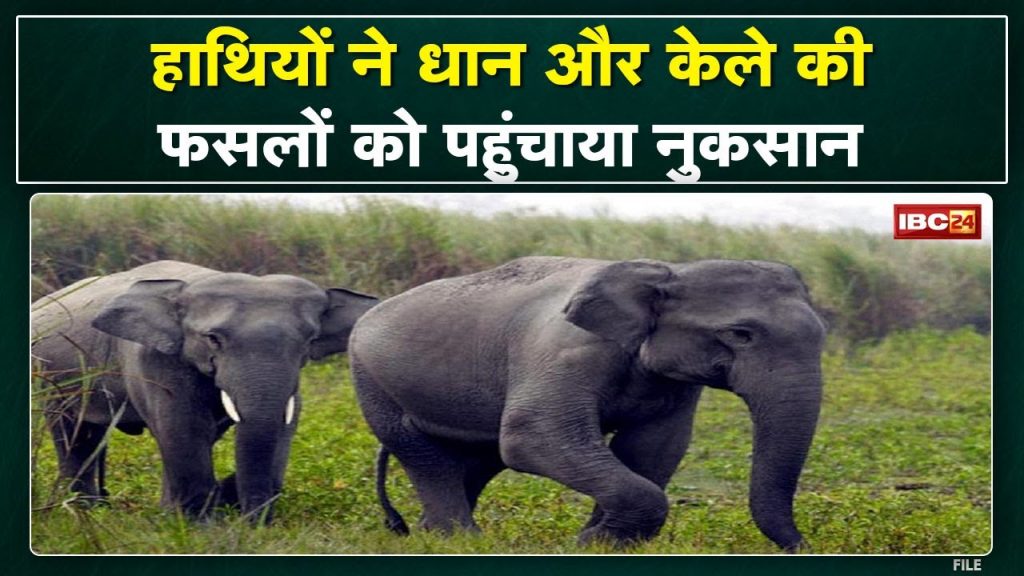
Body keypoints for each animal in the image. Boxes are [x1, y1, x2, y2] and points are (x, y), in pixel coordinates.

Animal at [32, 260, 378, 520]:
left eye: (308, 341)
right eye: (213, 338)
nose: (252, 523)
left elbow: (282, 421)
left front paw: (175, 514)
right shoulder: (153, 357)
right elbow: (182, 426)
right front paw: (193, 524)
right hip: (53, 375)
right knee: (75, 434)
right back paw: (86, 511)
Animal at [350, 256, 826, 551]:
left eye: (823, 333)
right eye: (740, 334)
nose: (804, 545)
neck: (667, 271)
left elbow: (653, 448)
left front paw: (599, 541)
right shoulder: (566, 351)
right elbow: (532, 436)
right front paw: (590, 543)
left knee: (475, 459)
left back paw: (428, 534)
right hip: (371, 379)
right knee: (426, 455)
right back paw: (461, 541)